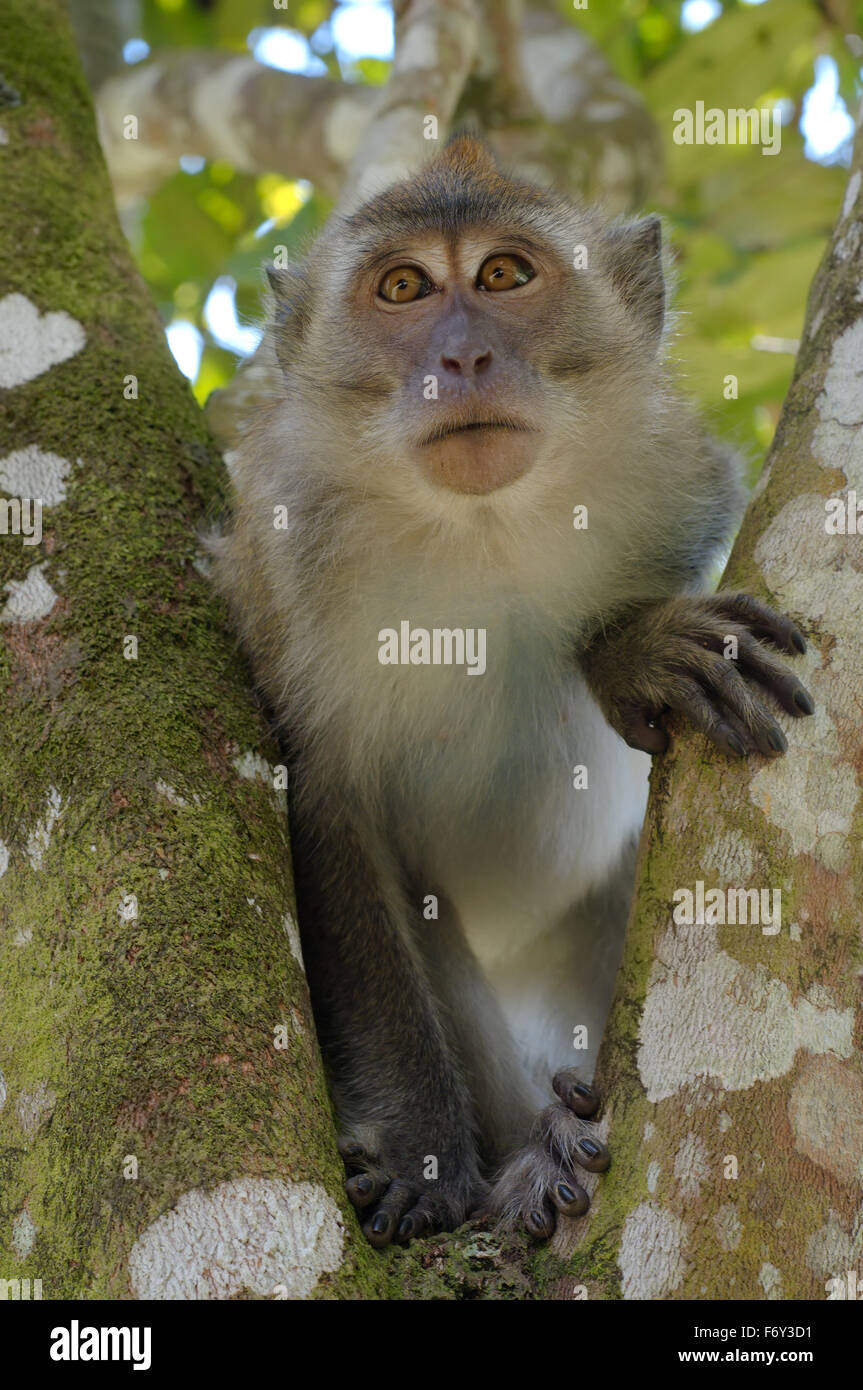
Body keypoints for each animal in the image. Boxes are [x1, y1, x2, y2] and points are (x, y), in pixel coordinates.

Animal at [213, 136, 813, 1248]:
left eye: (502, 275)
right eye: (404, 288)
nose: (461, 359)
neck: (477, 530)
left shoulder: (667, 475)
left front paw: (622, 649)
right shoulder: (281, 565)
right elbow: (328, 805)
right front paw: (426, 1158)